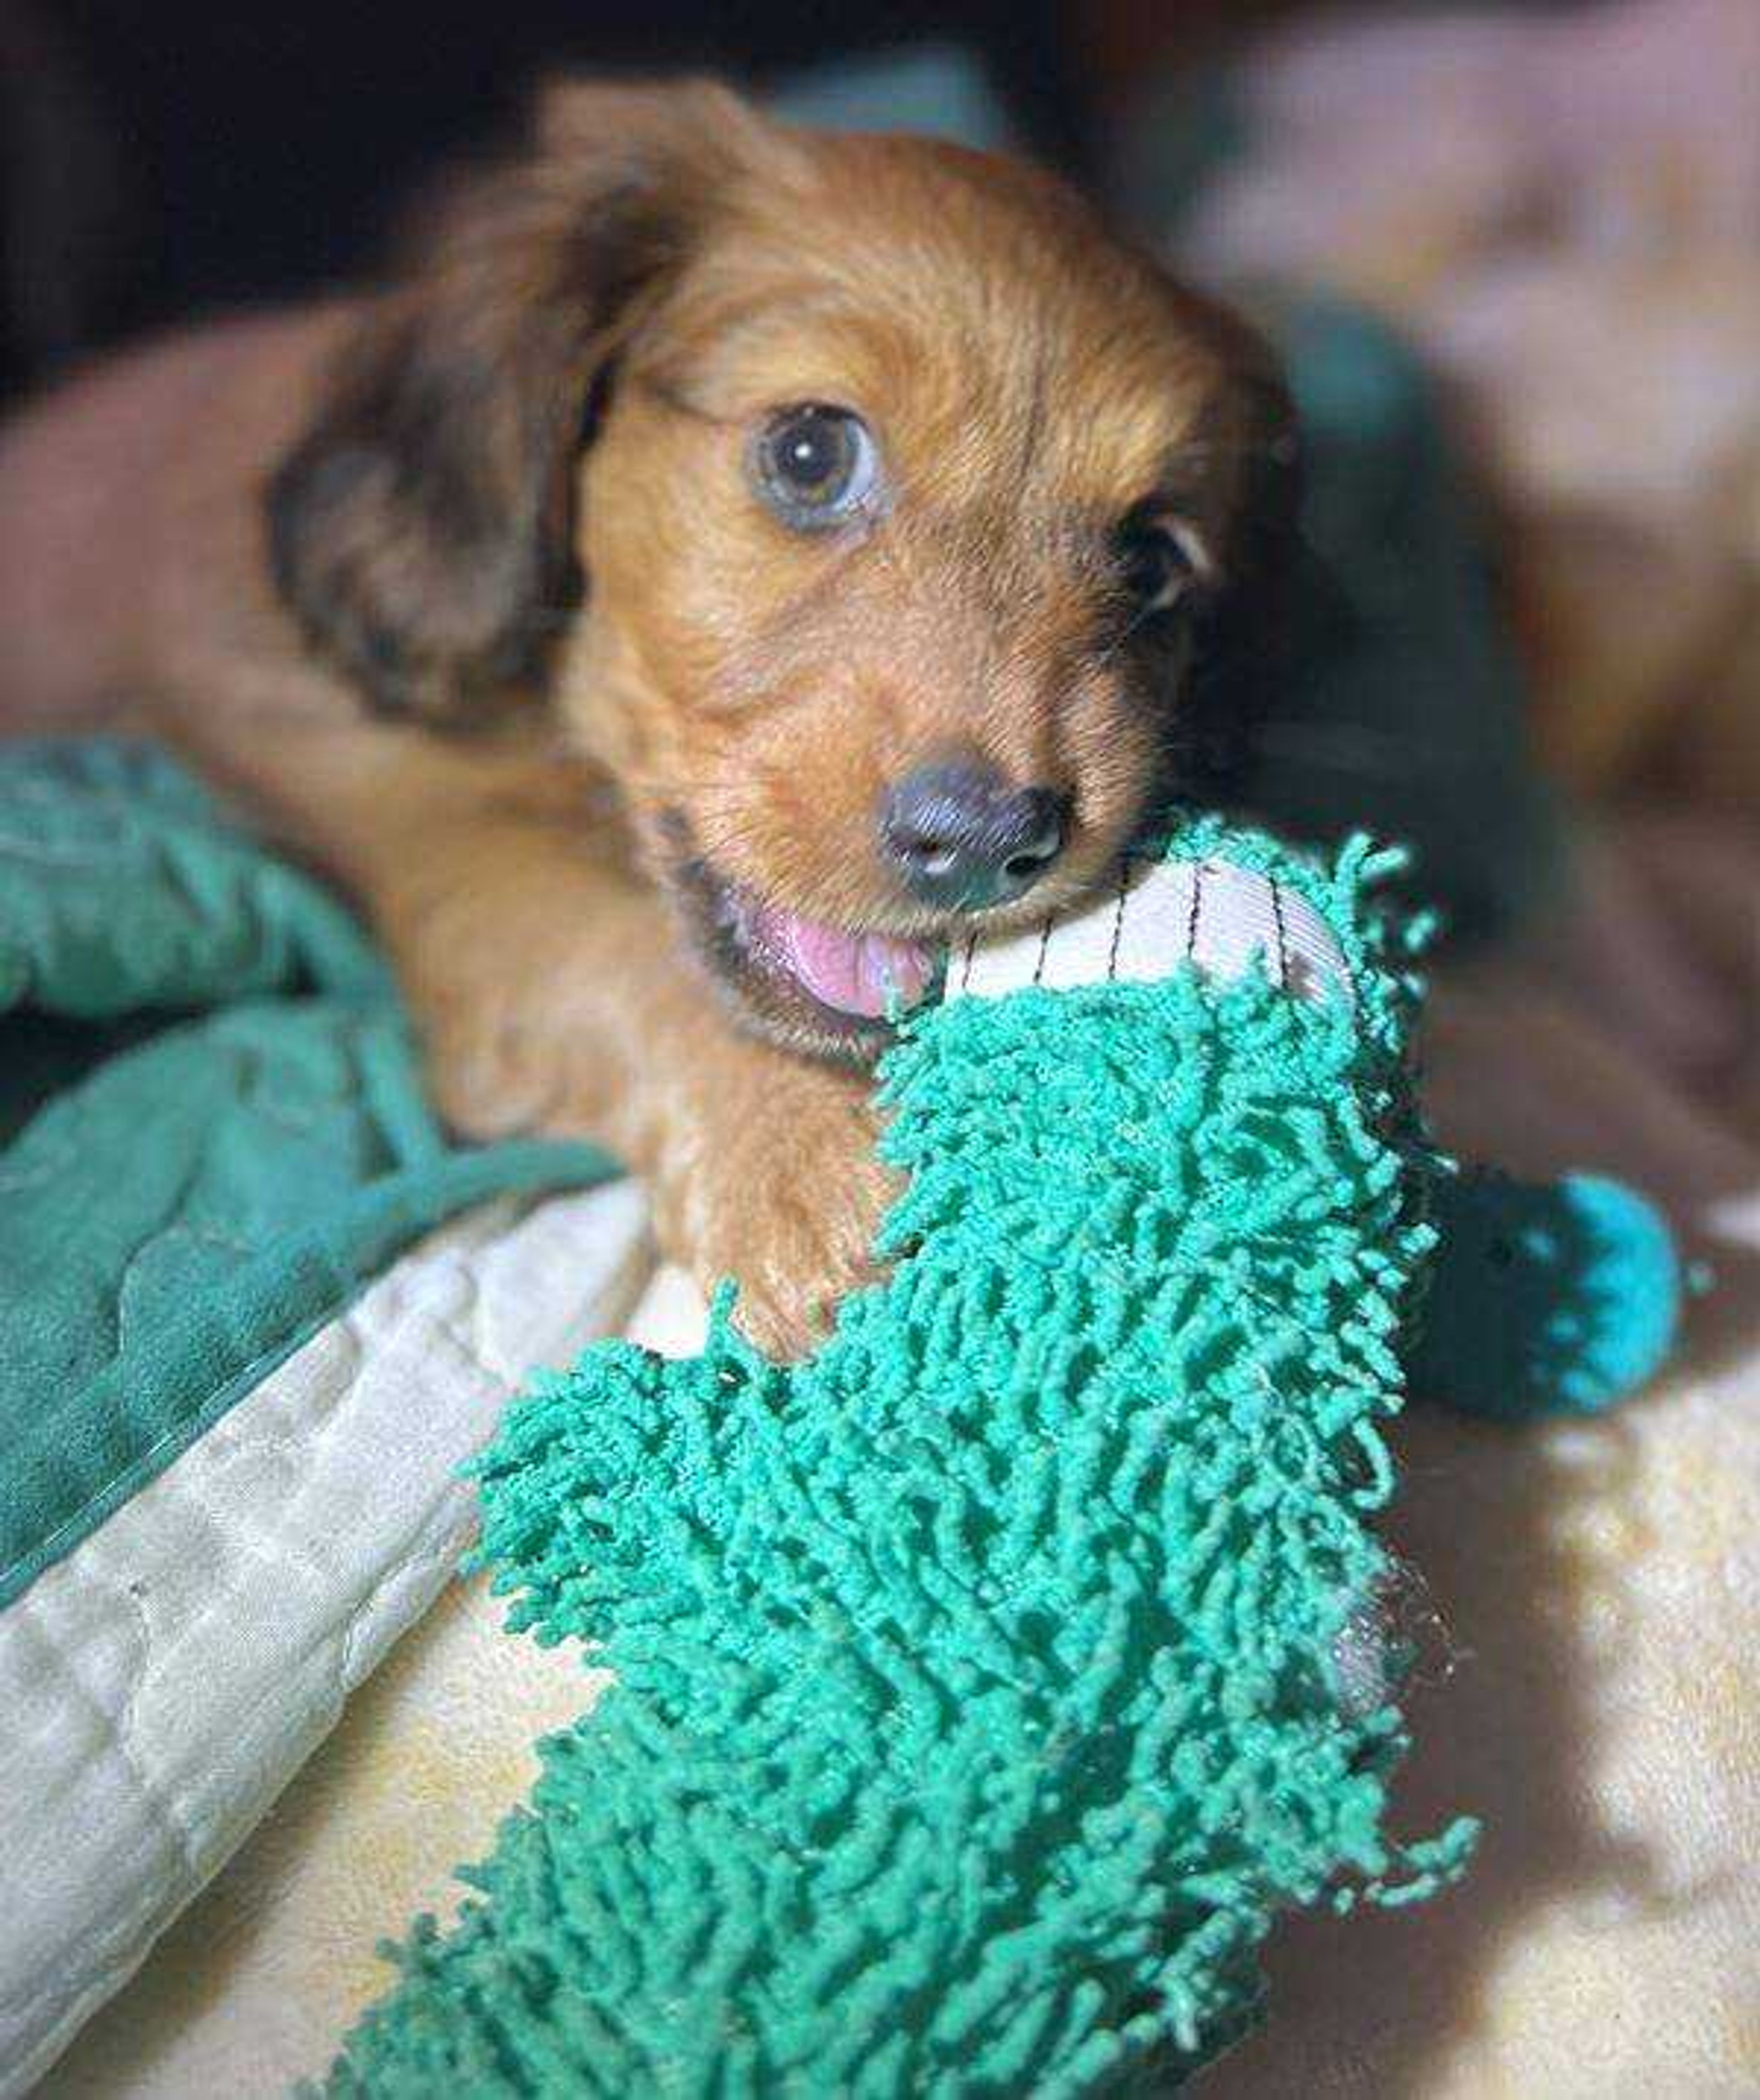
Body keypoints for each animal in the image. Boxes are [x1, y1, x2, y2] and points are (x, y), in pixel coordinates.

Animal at [0, 77, 1293, 1344]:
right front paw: (805, 1157)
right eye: (811, 452)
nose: (986, 844)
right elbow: (621, 947)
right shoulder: (432, 840)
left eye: (1152, 563)